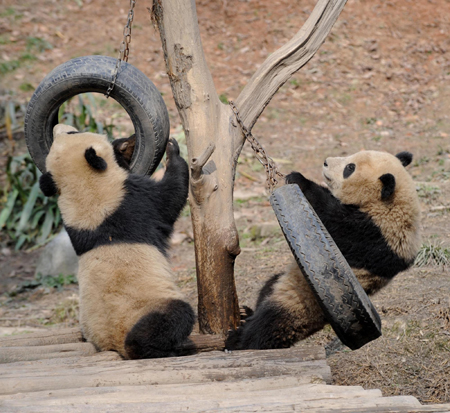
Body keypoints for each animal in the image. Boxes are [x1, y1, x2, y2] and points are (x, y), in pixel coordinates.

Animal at [37, 123, 194, 358]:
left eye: (71, 132)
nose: (58, 126)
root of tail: (114, 344)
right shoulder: (132, 201)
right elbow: (170, 196)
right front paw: (173, 151)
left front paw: (124, 146)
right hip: (151, 307)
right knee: (173, 318)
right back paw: (163, 348)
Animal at [229, 150, 422, 350]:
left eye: (349, 168)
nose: (326, 162)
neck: (393, 203)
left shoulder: (372, 233)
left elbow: (329, 215)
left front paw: (298, 178)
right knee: (268, 287)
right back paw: (245, 313)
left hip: (302, 303)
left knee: (269, 325)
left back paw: (238, 340)